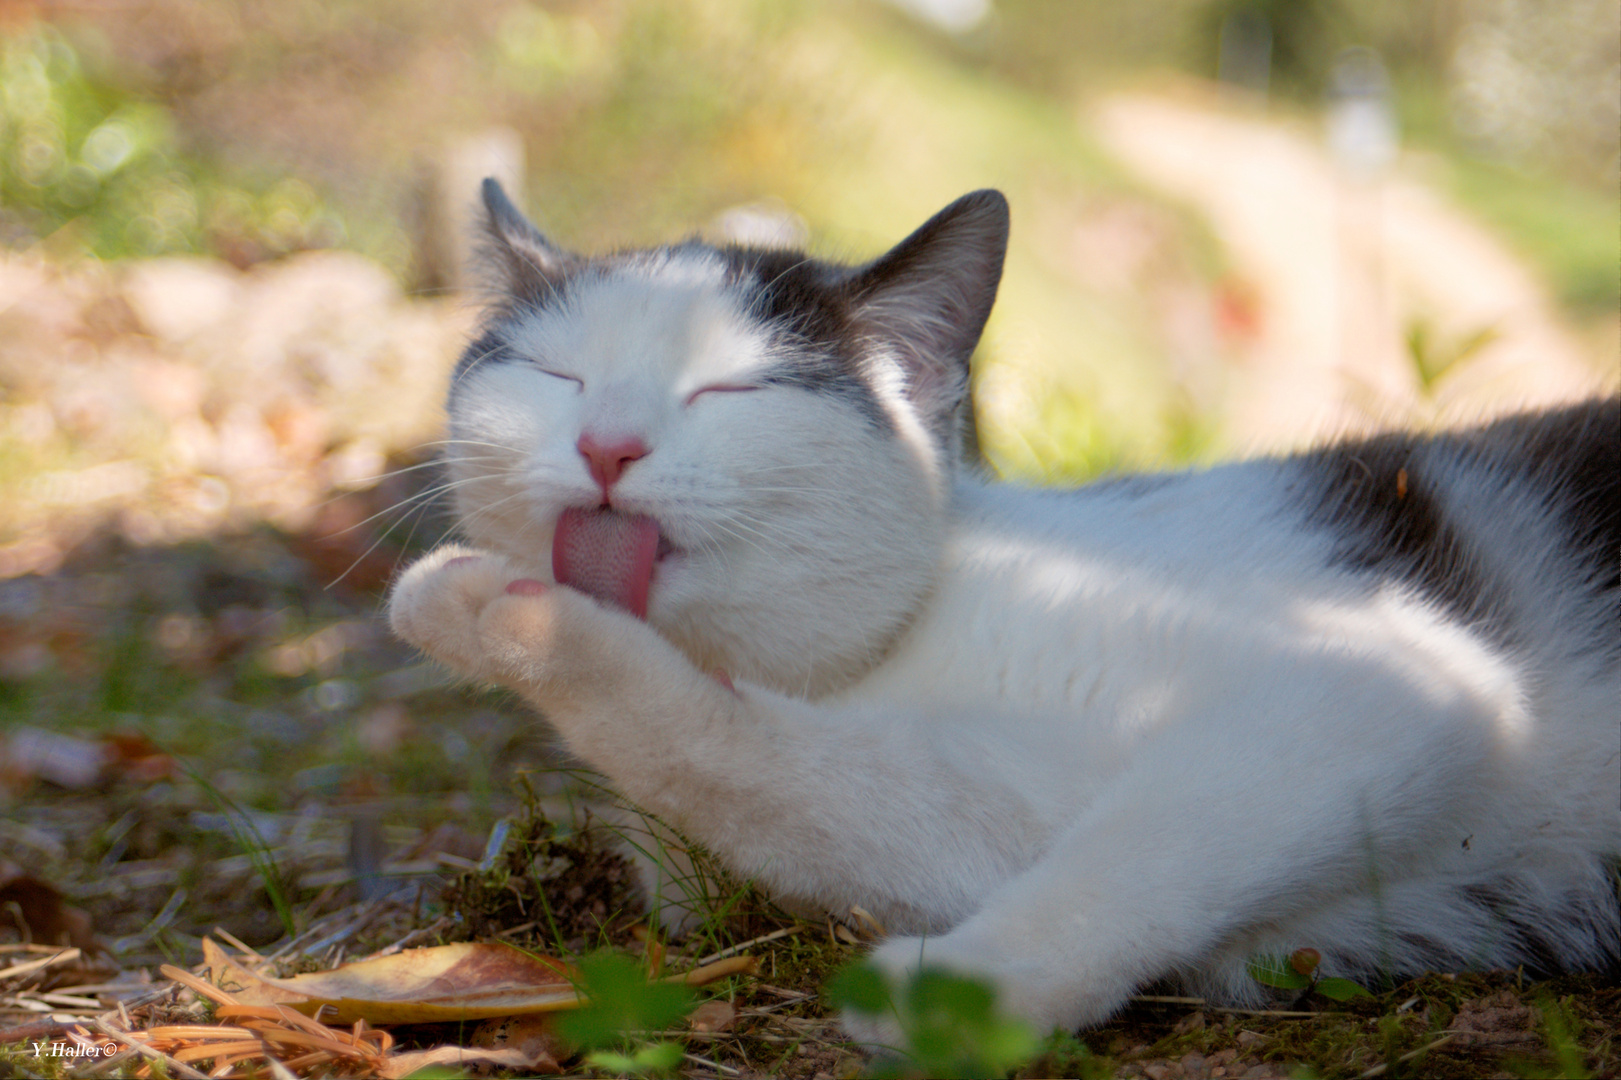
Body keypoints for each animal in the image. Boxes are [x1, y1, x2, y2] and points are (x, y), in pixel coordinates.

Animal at [392, 180, 1621, 1037]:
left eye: (730, 388)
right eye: (554, 376)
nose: (607, 444)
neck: (907, 643)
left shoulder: (1383, 682)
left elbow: (1147, 841)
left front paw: (969, 993)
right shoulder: (963, 814)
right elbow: (792, 778)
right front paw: (519, 620)